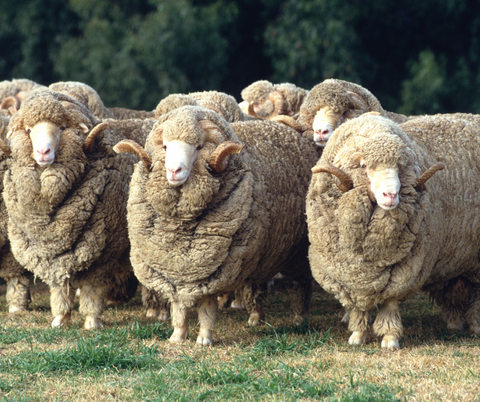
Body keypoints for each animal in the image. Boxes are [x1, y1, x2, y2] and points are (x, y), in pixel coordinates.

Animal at [2, 88, 141, 330]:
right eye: (28, 130)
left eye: (62, 127)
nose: (43, 151)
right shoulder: (54, 253)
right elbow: (60, 286)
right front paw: (60, 319)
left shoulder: (103, 252)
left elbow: (92, 289)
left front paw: (92, 321)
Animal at [113, 105, 318, 344]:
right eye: (164, 146)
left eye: (199, 147)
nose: (174, 171)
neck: (180, 226)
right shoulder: (175, 272)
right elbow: (178, 308)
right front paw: (177, 336)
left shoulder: (211, 272)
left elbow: (207, 309)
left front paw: (204, 338)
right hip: (261, 253)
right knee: (258, 283)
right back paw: (256, 317)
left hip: (299, 253)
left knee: (303, 284)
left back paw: (300, 318)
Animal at [306, 112, 480, 348]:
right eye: (363, 166)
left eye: (400, 168)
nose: (391, 195)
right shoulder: (353, 275)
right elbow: (359, 307)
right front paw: (358, 335)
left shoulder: (406, 269)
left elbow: (389, 304)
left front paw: (390, 338)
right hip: (456, 258)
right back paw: (454, 324)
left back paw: (475, 326)